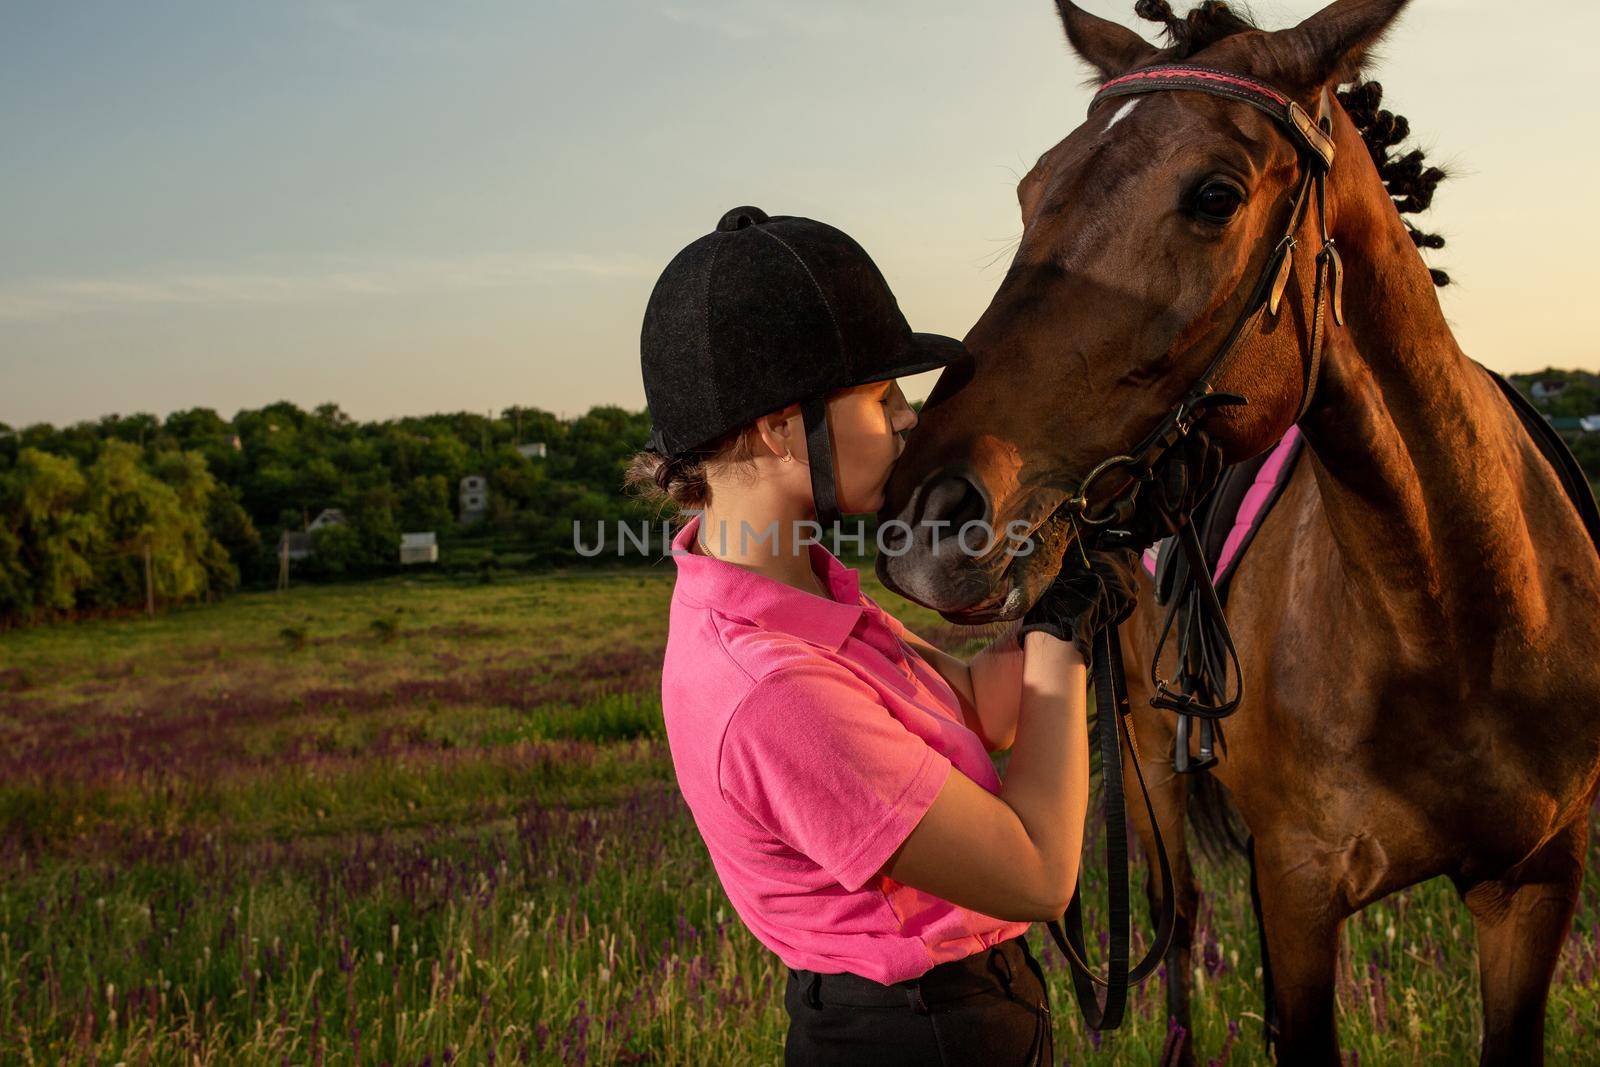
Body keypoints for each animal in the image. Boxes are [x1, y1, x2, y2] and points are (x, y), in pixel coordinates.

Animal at [883, 2, 1600, 1067]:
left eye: (1214, 195)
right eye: (1030, 190)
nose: (928, 518)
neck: (1458, 621)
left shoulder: (1534, 884)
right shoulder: (1303, 893)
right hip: (1151, 780)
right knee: (1178, 934)